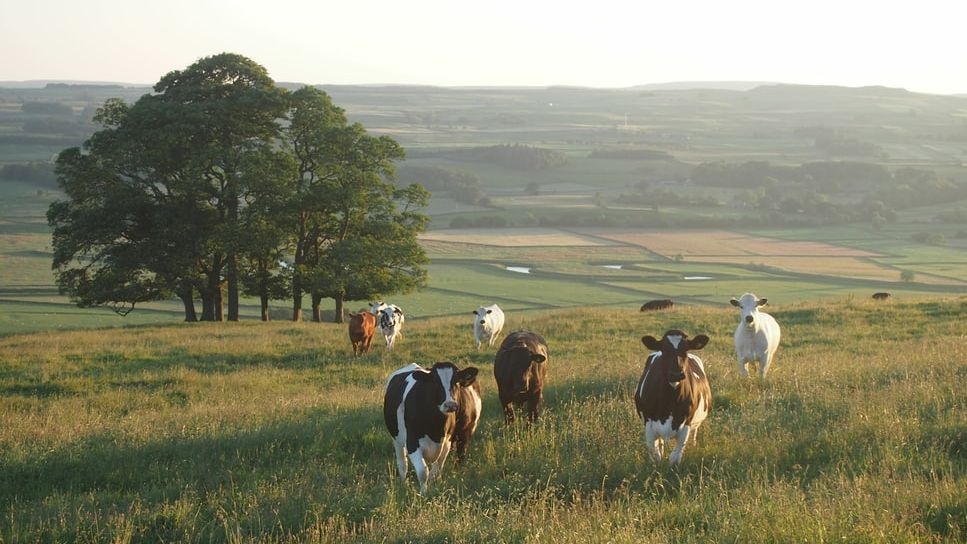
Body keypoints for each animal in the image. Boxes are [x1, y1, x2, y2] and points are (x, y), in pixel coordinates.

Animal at [382, 362, 480, 492]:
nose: (450, 405)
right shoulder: (412, 443)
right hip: (396, 439)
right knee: (402, 464)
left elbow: (436, 471)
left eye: (456, 381)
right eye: (435, 381)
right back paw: (403, 484)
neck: (436, 428)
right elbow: (423, 472)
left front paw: (434, 488)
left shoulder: (447, 443)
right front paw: (423, 493)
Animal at [636, 330, 712, 466]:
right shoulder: (649, 425)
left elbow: (675, 457)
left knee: (694, 434)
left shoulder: (686, 425)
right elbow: (655, 455)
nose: (676, 374)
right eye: (664, 350)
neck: (669, 401)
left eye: (685, 350)